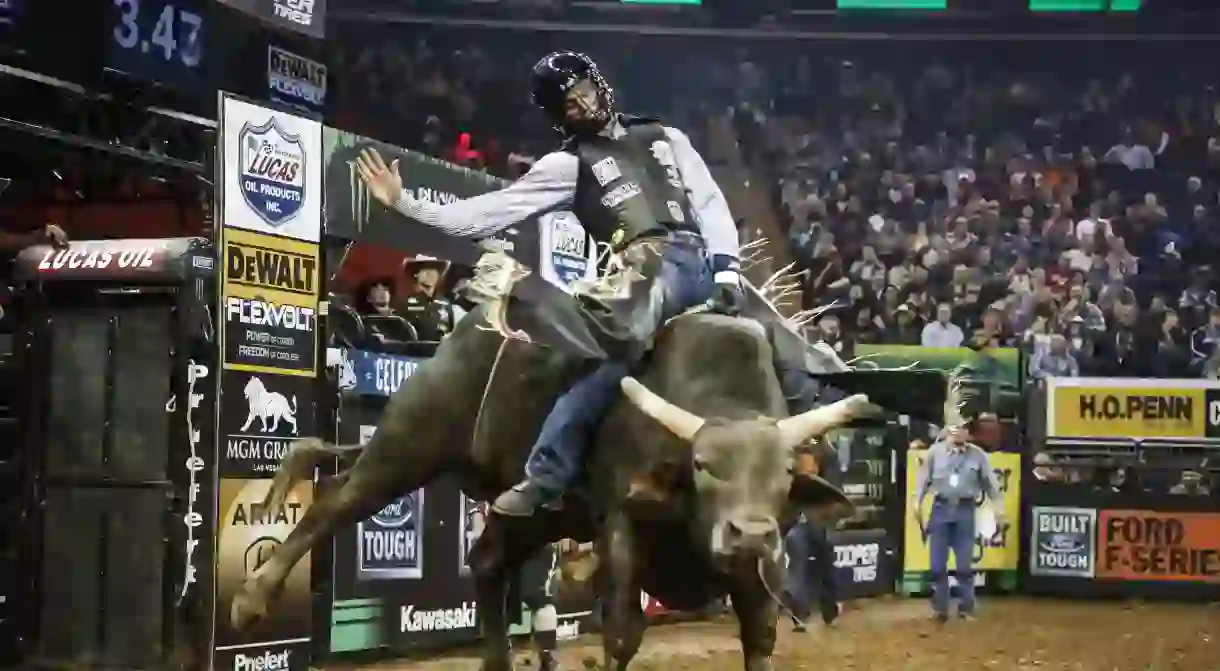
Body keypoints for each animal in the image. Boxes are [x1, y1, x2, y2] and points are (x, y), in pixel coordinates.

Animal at [226, 254, 878, 668]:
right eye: (703, 466)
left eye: (785, 474)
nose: (749, 533)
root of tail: (462, 333)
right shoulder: (619, 523)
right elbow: (623, 632)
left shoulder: (760, 566)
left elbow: (761, 634)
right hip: (410, 442)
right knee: (334, 503)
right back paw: (251, 601)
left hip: (533, 510)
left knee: (488, 562)